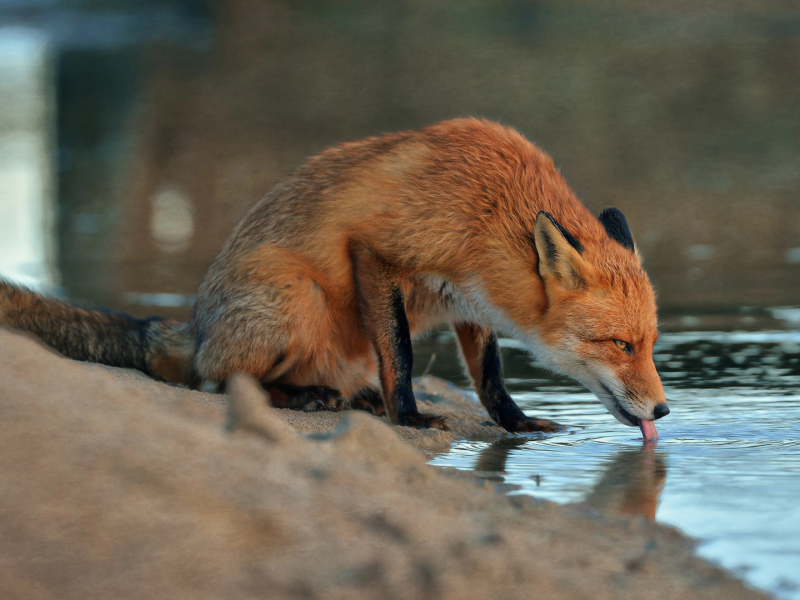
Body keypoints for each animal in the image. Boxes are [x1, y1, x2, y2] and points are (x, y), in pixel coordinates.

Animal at [0, 118, 668, 436]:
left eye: (650, 344)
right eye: (620, 344)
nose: (663, 411)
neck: (487, 208)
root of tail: (193, 327)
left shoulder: (468, 301)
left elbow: (489, 376)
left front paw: (515, 421)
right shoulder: (376, 252)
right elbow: (400, 352)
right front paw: (409, 416)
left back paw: (352, 393)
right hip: (296, 297)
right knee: (217, 383)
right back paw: (306, 397)